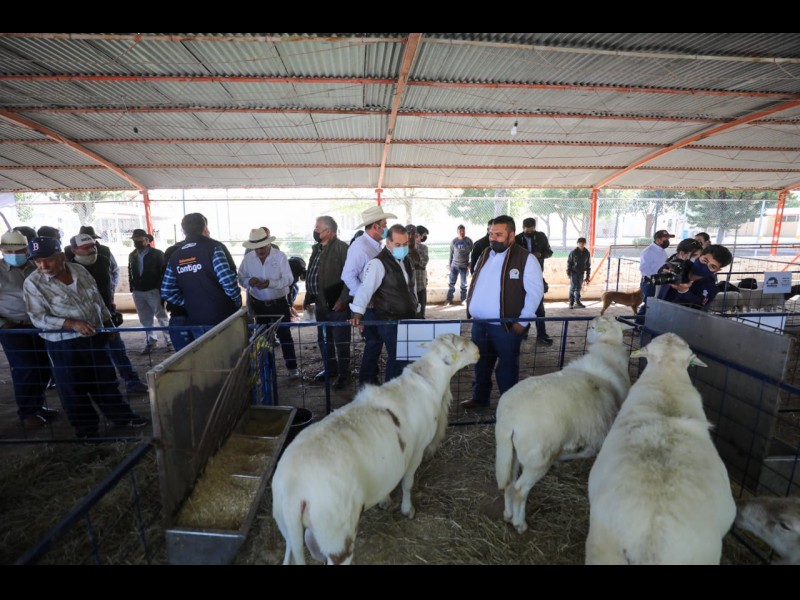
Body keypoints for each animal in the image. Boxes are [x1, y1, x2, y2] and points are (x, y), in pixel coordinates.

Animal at [271, 333, 479, 565]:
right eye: (461, 350)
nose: (478, 351)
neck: (430, 382)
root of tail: (294, 489)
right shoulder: (416, 450)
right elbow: (407, 482)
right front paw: (407, 510)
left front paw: (385, 500)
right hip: (337, 534)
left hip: (287, 526)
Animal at [495, 315, 633, 534]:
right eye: (592, 326)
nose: (588, 333)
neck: (609, 353)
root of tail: (509, 418)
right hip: (538, 459)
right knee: (520, 489)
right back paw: (520, 524)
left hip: (511, 452)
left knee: (509, 483)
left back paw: (508, 515)